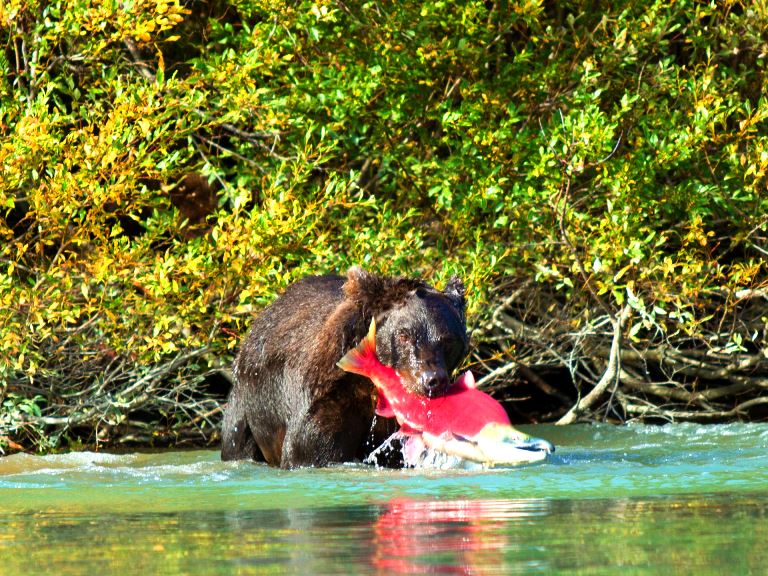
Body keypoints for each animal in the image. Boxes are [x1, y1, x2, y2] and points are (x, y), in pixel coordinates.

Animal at [222, 266, 468, 468]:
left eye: (447, 340)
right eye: (404, 335)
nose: (432, 380)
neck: (374, 387)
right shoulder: (328, 398)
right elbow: (310, 451)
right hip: (250, 404)